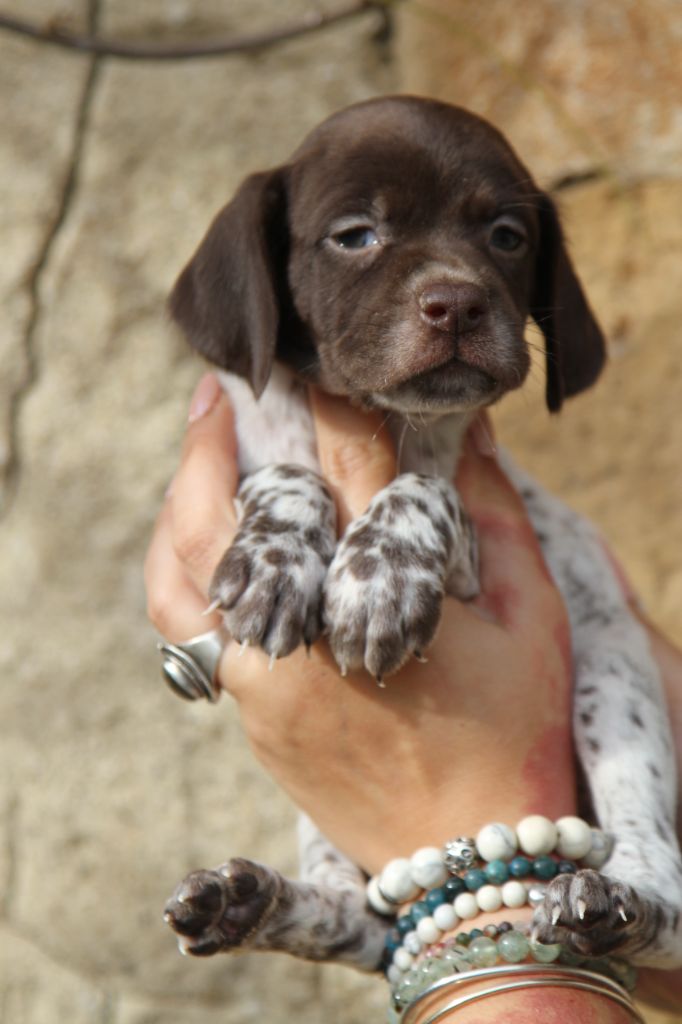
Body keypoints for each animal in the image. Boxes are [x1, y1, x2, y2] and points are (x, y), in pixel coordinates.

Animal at [160, 99, 679, 970]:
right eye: (355, 235)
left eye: (507, 235)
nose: (458, 305)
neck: (395, 420)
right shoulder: (247, 447)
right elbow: (282, 473)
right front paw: (278, 557)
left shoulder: (484, 531)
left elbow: (431, 489)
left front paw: (379, 578)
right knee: (362, 924)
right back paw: (250, 902)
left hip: (617, 681)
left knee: (656, 867)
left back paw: (621, 905)